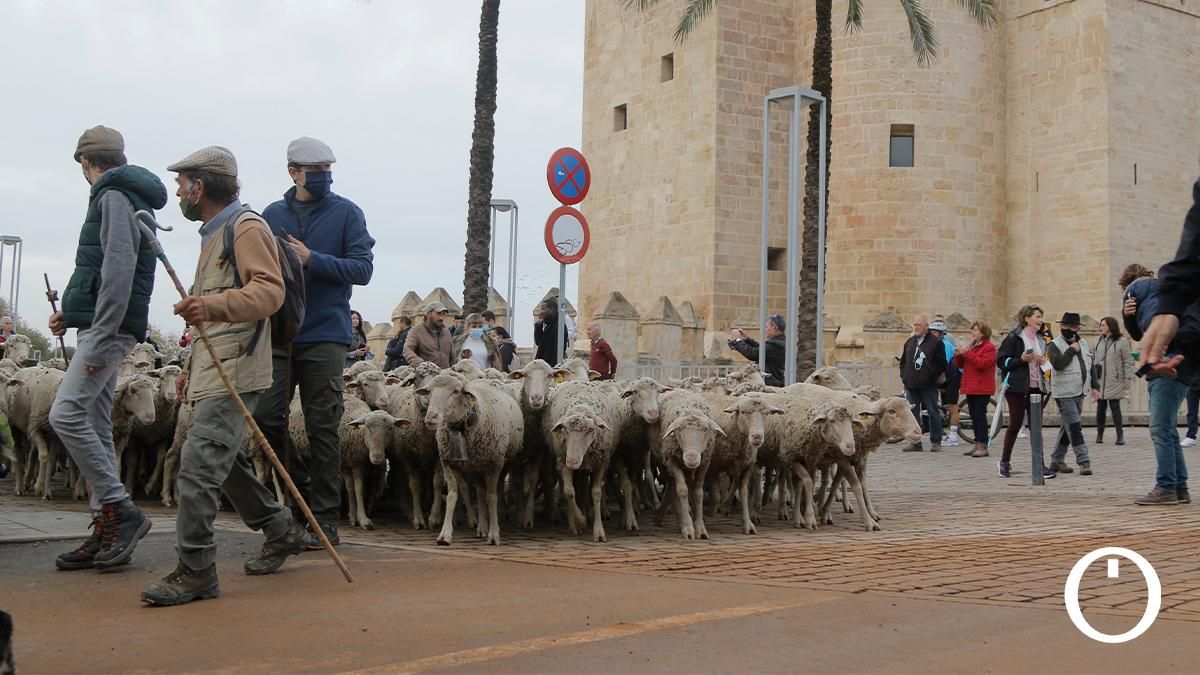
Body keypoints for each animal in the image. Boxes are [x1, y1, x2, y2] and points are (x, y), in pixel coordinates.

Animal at [419, 370, 524, 546]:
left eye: (456, 391)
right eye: (430, 391)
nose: (431, 418)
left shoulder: (495, 464)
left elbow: (492, 497)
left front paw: (494, 535)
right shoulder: (448, 463)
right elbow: (453, 495)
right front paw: (445, 535)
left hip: (500, 462)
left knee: (492, 491)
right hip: (474, 466)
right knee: (480, 493)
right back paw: (481, 527)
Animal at [541, 381, 620, 541]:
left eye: (590, 430)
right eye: (564, 429)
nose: (572, 461)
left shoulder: (601, 463)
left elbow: (596, 493)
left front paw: (598, 531)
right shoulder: (563, 462)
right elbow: (569, 491)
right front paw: (580, 521)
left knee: (584, 488)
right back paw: (575, 522)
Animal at [651, 389, 726, 540]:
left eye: (705, 429)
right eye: (679, 430)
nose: (691, 458)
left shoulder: (704, 464)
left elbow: (698, 494)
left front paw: (700, 529)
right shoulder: (672, 462)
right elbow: (682, 491)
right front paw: (688, 528)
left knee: (673, 487)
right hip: (666, 462)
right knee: (673, 488)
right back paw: (677, 520)